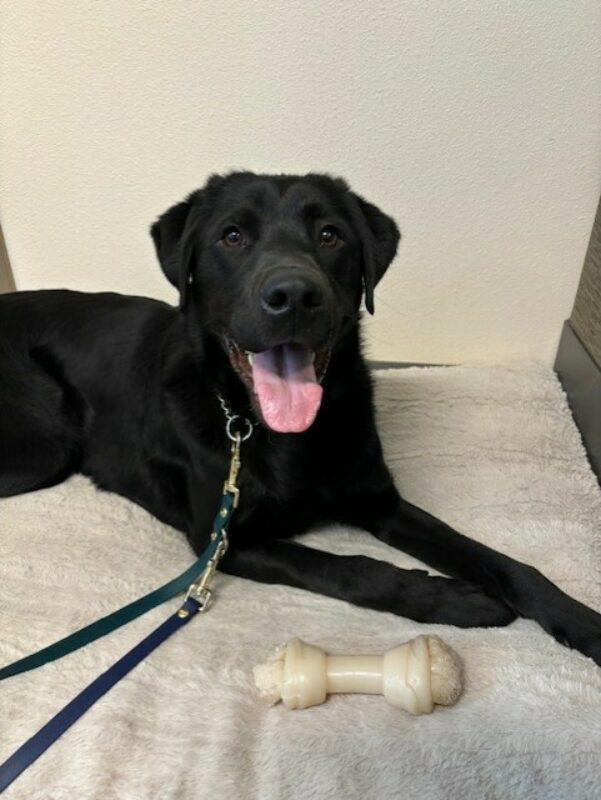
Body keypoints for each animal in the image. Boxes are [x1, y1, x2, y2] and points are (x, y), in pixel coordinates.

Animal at [1, 172, 600, 664]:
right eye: (232, 236)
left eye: (331, 235)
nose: (292, 295)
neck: (269, 429)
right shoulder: (222, 540)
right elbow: (349, 567)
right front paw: (450, 597)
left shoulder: (380, 502)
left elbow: (499, 560)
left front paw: (578, 620)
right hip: (46, 446)